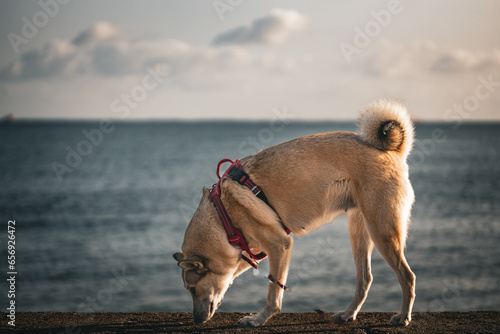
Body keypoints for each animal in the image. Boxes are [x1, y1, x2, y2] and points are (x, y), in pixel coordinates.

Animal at [174, 98, 416, 326]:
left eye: (193, 289)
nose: (196, 321)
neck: (222, 215)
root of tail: (391, 151)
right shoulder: (247, 251)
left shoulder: (279, 246)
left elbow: (274, 291)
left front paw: (259, 319)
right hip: (360, 233)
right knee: (365, 279)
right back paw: (349, 314)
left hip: (382, 231)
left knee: (407, 277)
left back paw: (403, 317)